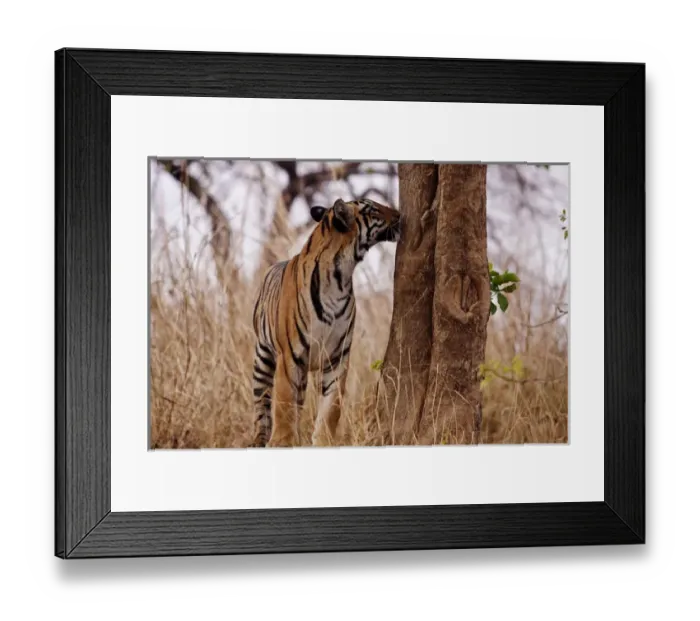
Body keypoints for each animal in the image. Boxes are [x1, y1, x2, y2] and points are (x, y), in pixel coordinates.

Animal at [250, 197, 402, 448]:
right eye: (373, 209)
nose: (400, 215)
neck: (340, 278)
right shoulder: (289, 356)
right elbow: (283, 403)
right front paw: (282, 442)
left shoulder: (336, 358)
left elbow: (331, 408)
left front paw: (324, 442)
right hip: (263, 358)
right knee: (261, 403)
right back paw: (259, 438)